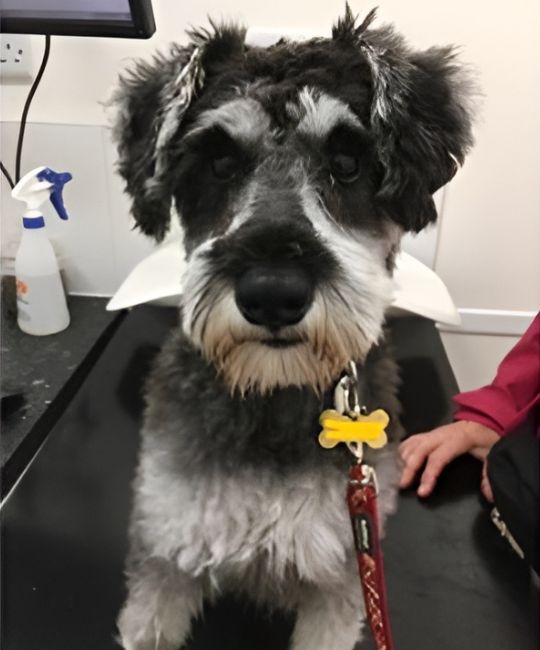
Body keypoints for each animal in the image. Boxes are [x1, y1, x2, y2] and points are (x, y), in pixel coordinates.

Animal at [113, 6, 472, 648]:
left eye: (348, 163)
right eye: (219, 163)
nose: (272, 294)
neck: (274, 394)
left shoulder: (339, 576)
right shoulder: (166, 556)